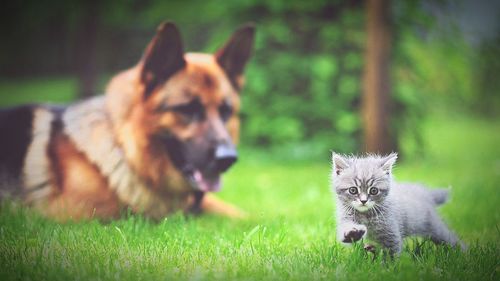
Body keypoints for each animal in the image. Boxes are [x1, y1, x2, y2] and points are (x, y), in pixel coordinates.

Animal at [0, 21, 254, 221]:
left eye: (225, 111)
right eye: (187, 109)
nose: (228, 159)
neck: (125, 151)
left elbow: (240, 214)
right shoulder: (72, 213)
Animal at [332, 152, 464, 255]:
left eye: (373, 190)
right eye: (353, 190)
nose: (363, 201)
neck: (366, 215)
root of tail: (425, 193)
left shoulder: (391, 232)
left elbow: (392, 252)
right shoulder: (346, 217)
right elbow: (346, 228)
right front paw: (352, 234)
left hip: (434, 227)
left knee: (451, 239)